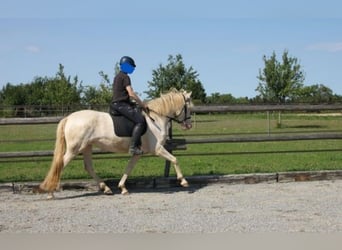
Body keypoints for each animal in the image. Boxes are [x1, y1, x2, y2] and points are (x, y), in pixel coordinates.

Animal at [39, 89, 194, 198]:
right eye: (190, 108)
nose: (189, 125)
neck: (155, 118)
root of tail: (69, 117)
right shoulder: (157, 149)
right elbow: (174, 159)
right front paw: (183, 181)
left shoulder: (138, 153)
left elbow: (129, 168)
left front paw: (122, 188)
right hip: (74, 149)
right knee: (60, 165)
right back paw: (50, 192)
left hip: (87, 147)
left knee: (88, 167)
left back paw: (106, 189)